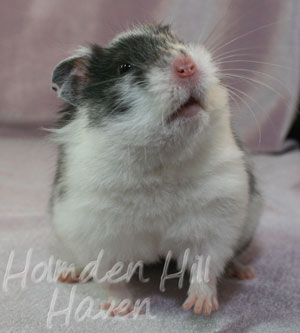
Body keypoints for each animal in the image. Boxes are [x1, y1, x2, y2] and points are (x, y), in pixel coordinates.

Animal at [49, 24, 262, 316]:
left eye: (178, 41)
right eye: (124, 67)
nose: (187, 66)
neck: (161, 162)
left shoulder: (214, 224)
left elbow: (205, 268)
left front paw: (200, 308)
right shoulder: (100, 238)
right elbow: (112, 279)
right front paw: (120, 310)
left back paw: (244, 272)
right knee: (87, 265)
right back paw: (70, 274)